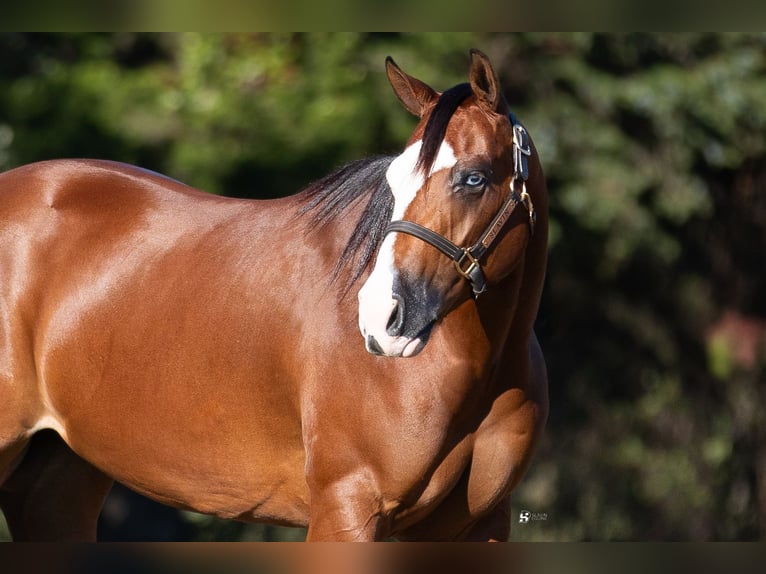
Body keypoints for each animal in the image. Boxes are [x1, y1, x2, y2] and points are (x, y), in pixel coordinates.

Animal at [1, 50, 552, 544]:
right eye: (393, 180)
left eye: (474, 178)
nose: (381, 319)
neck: (475, 367)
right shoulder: (348, 507)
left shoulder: (479, 525)